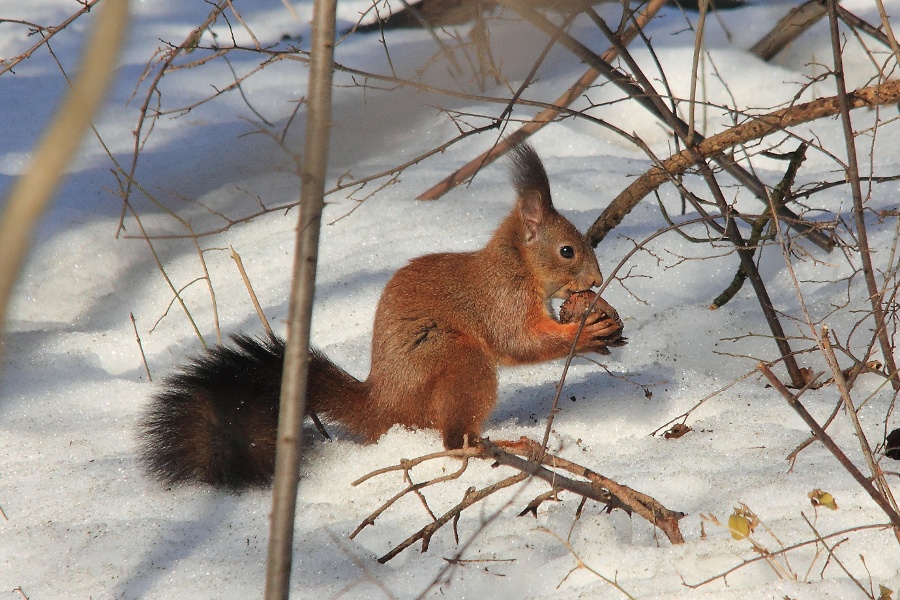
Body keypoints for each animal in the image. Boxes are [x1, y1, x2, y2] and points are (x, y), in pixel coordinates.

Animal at [139, 143, 624, 490]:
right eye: (567, 250)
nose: (598, 280)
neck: (517, 264)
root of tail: (381, 403)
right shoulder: (500, 300)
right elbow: (518, 342)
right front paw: (586, 333)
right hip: (458, 358)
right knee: (453, 441)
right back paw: (501, 445)